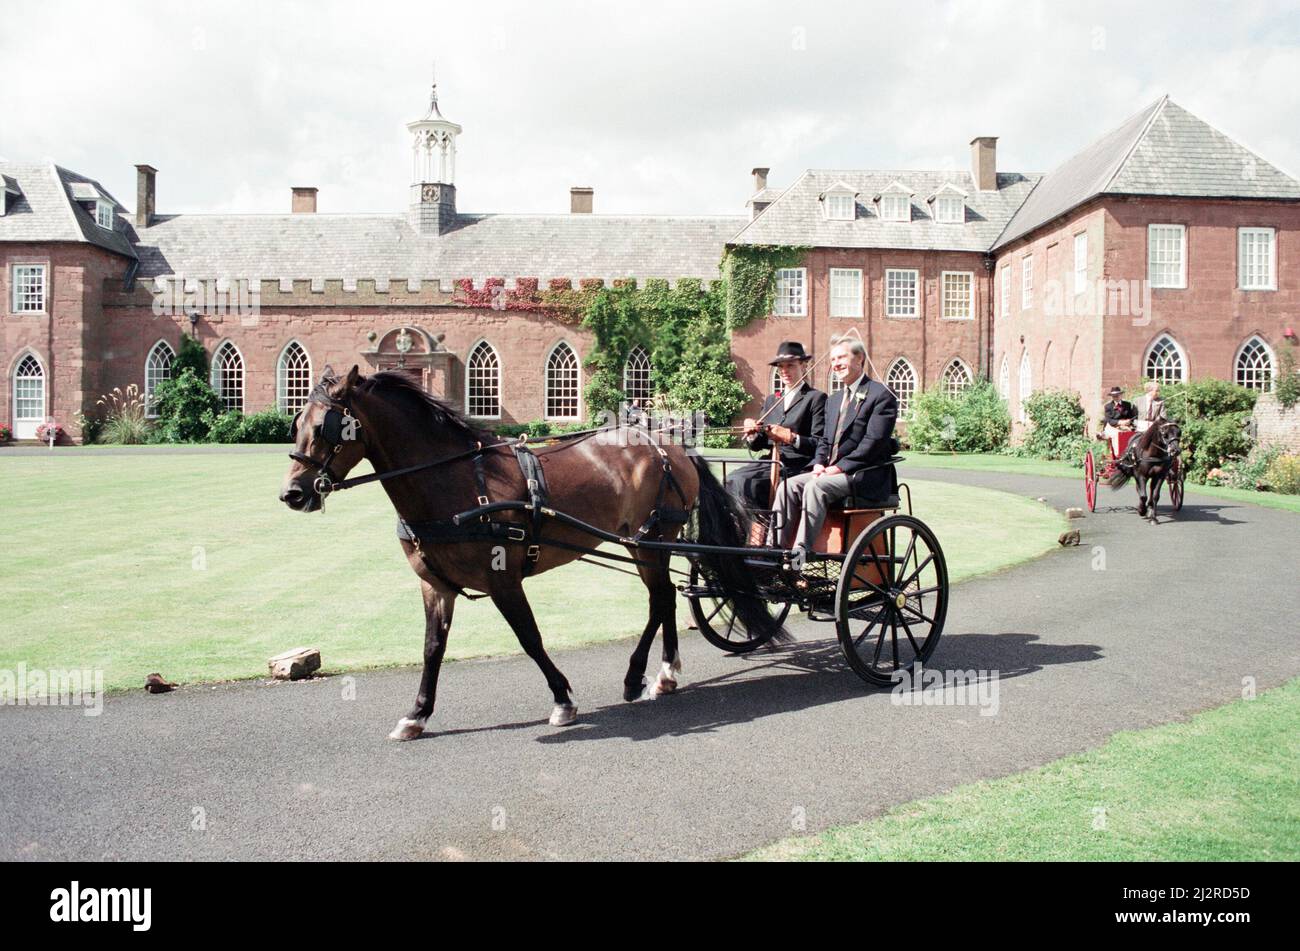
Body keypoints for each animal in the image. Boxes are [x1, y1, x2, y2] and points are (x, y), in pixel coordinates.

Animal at [276, 368, 780, 737]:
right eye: (296, 424)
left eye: (329, 425)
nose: (293, 494)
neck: (455, 482)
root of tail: (666, 442)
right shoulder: (435, 585)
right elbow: (432, 648)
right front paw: (417, 714)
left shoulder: (503, 578)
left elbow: (529, 638)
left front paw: (562, 699)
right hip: (643, 543)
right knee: (667, 599)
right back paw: (664, 672)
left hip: (651, 540)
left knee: (660, 599)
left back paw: (642, 674)